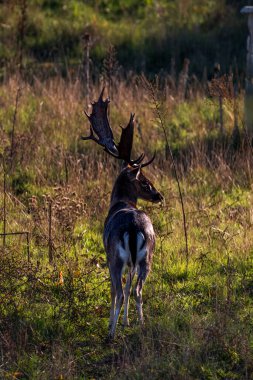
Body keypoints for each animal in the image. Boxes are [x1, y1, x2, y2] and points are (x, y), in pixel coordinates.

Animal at [81, 89, 164, 338]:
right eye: (145, 182)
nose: (159, 195)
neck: (119, 204)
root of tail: (134, 229)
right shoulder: (132, 262)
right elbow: (128, 287)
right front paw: (127, 321)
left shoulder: (108, 256)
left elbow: (114, 291)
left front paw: (114, 322)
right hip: (147, 258)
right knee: (136, 289)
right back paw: (142, 324)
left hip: (116, 257)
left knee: (118, 290)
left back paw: (111, 332)